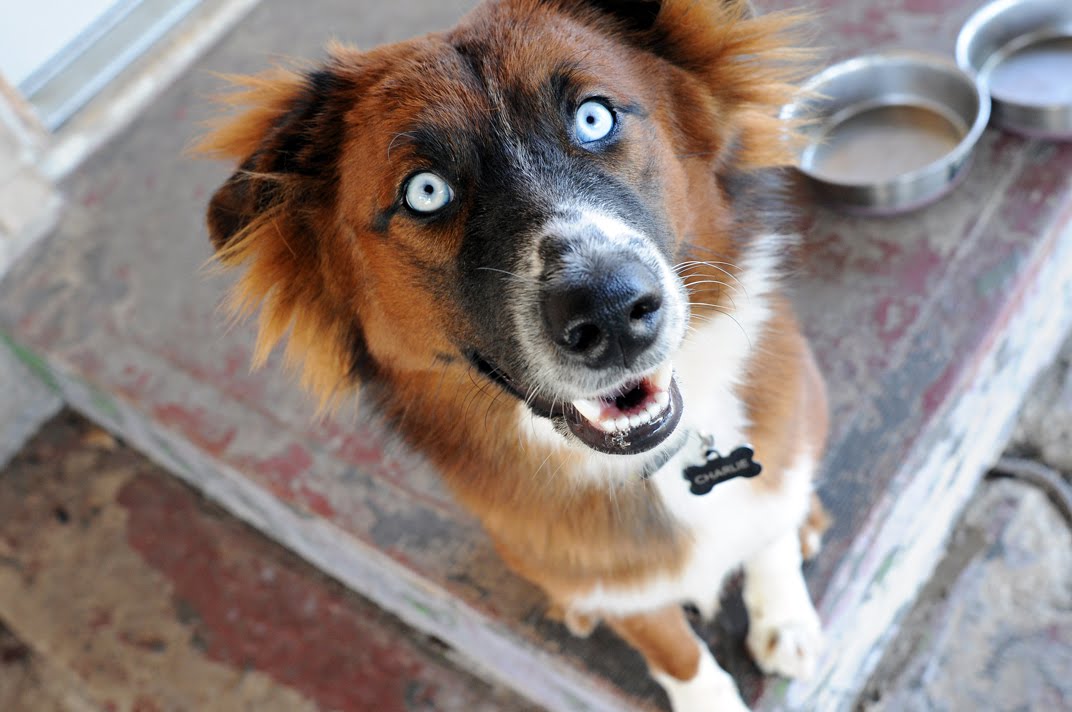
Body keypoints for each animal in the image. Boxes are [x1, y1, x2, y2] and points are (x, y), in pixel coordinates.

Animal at [204, 2, 831, 707]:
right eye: (425, 191)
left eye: (594, 118)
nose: (611, 311)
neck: (659, 463)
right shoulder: (599, 576)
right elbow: (673, 648)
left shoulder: (781, 450)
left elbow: (770, 531)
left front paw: (785, 617)